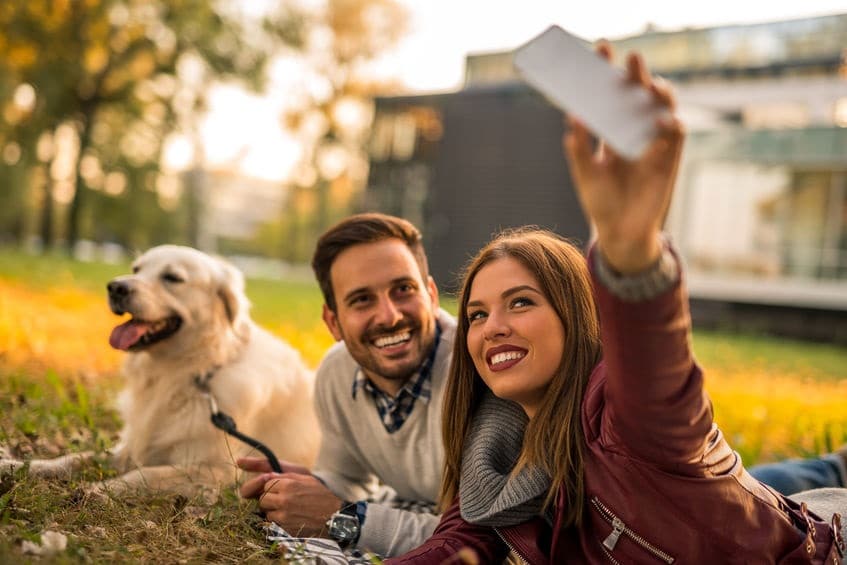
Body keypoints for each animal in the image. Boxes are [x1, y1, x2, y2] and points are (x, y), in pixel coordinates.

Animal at [1, 245, 320, 496]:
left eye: (172, 278)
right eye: (136, 268)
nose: (115, 287)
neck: (187, 372)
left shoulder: (218, 470)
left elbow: (147, 473)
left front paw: (101, 489)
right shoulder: (128, 447)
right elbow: (78, 457)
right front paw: (19, 466)